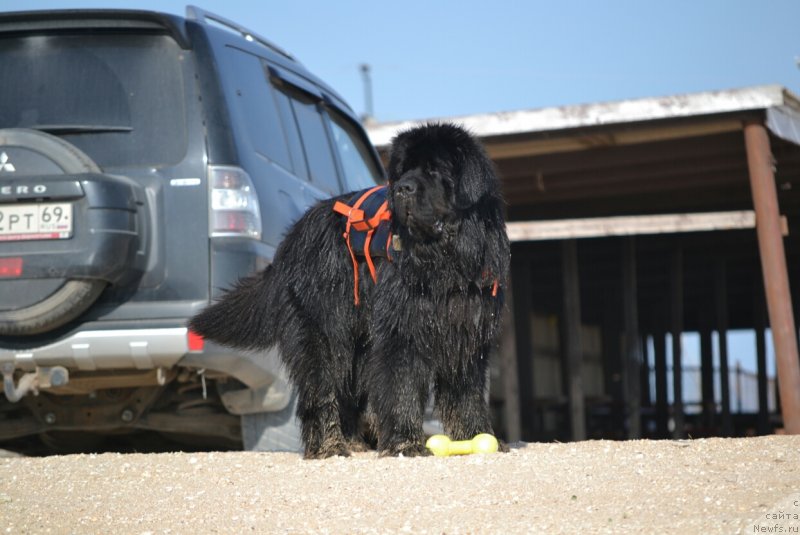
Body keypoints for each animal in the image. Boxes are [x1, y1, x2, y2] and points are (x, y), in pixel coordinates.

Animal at [191, 123, 510, 458]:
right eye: (403, 172)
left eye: (434, 170)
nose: (402, 189)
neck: (444, 263)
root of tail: (291, 239)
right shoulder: (402, 331)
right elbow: (402, 385)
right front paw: (405, 442)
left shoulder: (466, 332)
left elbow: (467, 393)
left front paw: (477, 435)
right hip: (324, 331)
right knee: (321, 388)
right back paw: (329, 445)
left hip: (358, 340)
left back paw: (353, 441)